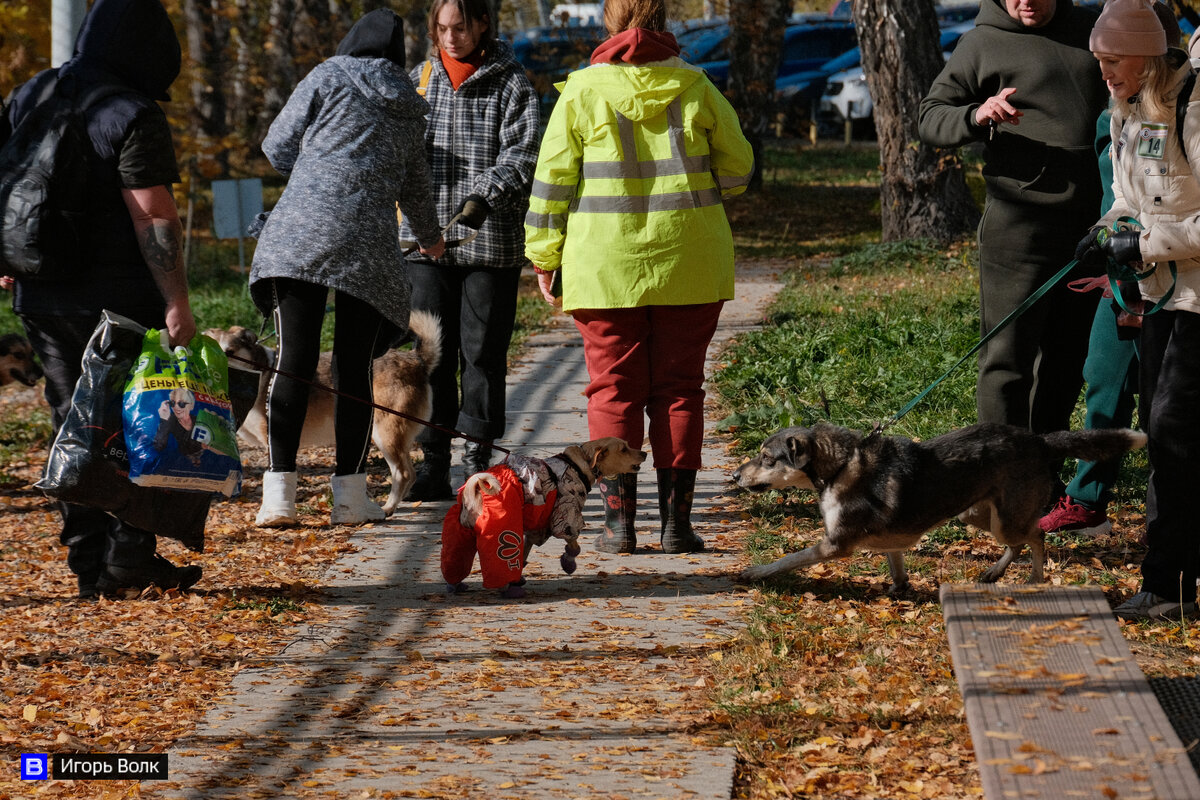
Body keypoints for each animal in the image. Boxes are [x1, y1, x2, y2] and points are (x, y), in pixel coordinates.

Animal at [205, 309, 441, 515]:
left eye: (230, 353)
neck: (260, 373)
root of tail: (416, 360)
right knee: (409, 473)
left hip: (385, 434)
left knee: (403, 473)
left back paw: (388, 507)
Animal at [441, 441, 648, 597]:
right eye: (624, 449)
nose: (645, 453)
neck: (578, 465)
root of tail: (475, 489)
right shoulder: (565, 516)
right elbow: (574, 545)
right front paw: (568, 563)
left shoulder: (534, 529)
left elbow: (525, 553)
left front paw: (520, 577)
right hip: (502, 533)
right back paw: (508, 590)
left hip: (460, 537)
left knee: (455, 563)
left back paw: (456, 585)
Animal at [729, 422, 1142, 592]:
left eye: (766, 458)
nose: (733, 476)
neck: (841, 465)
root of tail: (1040, 441)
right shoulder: (892, 542)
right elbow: (897, 567)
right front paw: (899, 589)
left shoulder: (834, 545)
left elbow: (788, 559)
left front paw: (756, 572)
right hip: (977, 514)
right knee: (1019, 543)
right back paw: (993, 573)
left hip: (1006, 519)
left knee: (1037, 536)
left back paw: (1035, 580)